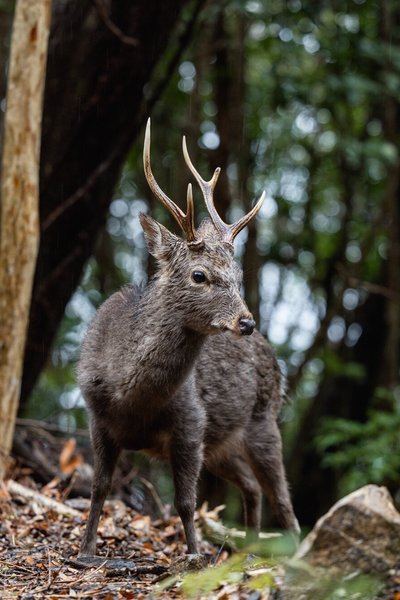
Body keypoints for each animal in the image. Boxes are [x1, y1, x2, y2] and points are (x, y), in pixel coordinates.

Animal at [76, 119, 298, 560]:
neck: (132, 398)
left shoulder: (192, 421)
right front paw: (86, 550)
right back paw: (247, 550)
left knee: (283, 500)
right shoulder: (96, 416)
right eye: (199, 275)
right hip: (223, 444)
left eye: (237, 275)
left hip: (262, 420)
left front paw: (193, 555)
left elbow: (185, 500)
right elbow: (98, 487)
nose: (246, 322)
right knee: (252, 488)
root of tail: (274, 359)